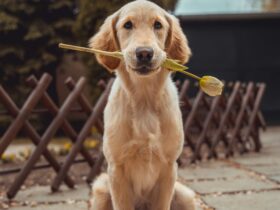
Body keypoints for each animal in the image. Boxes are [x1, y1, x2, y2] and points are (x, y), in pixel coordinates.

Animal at [89, 0, 195, 210]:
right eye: (128, 25)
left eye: (158, 25)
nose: (144, 53)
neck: (144, 99)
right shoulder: (116, 168)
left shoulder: (169, 167)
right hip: (101, 188)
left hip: (186, 195)